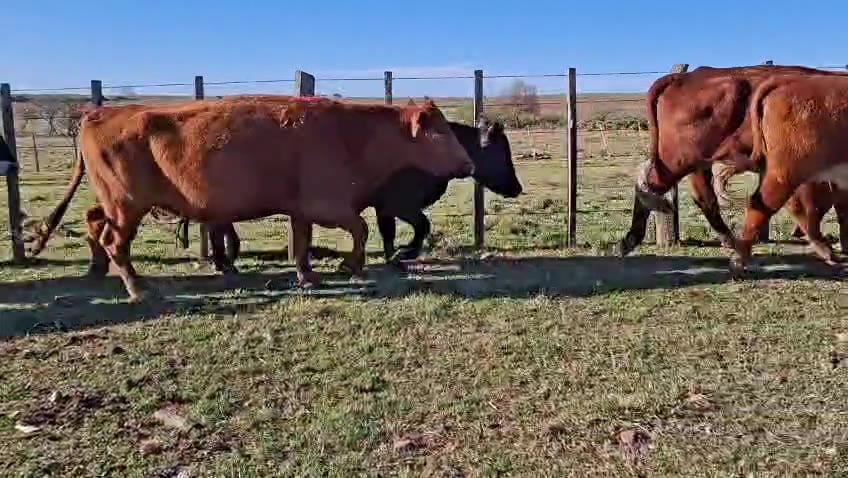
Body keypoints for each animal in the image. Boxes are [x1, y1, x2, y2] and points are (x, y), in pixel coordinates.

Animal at [24, 95, 474, 302]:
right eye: (439, 132)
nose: (469, 164)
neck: (351, 133)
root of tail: (99, 112)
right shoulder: (326, 204)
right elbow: (360, 229)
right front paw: (351, 266)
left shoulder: (301, 209)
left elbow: (302, 243)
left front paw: (307, 275)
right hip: (127, 206)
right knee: (113, 239)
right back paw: (137, 288)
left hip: (115, 205)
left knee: (94, 223)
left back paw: (98, 270)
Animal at [175, 117, 523, 272]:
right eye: (501, 152)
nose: (518, 188)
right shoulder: (398, 203)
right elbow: (421, 226)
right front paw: (404, 254)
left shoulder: (385, 207)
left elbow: (389, 232)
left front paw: (392, 256)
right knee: (217, 226)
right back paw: (225, 262)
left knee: (219, 227)